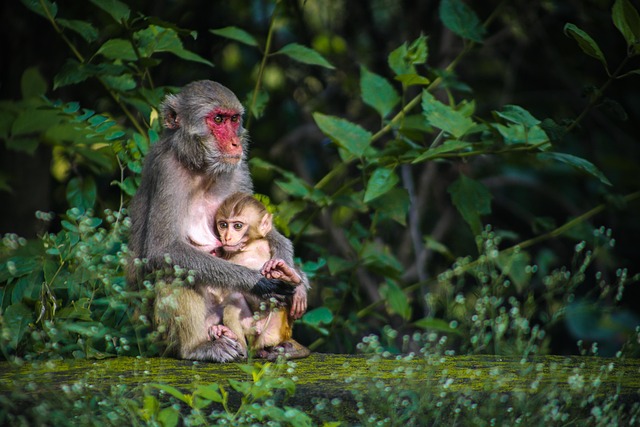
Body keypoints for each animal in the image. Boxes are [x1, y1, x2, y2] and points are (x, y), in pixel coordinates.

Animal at [208, 192, 310, 361]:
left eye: (237, 226)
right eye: (223, 225)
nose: (227, 237)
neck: (247, 248)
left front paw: (286, 275)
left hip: (276, 330)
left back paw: (291, 278)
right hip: (252, 331)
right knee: (235, 299)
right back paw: (235, 340)